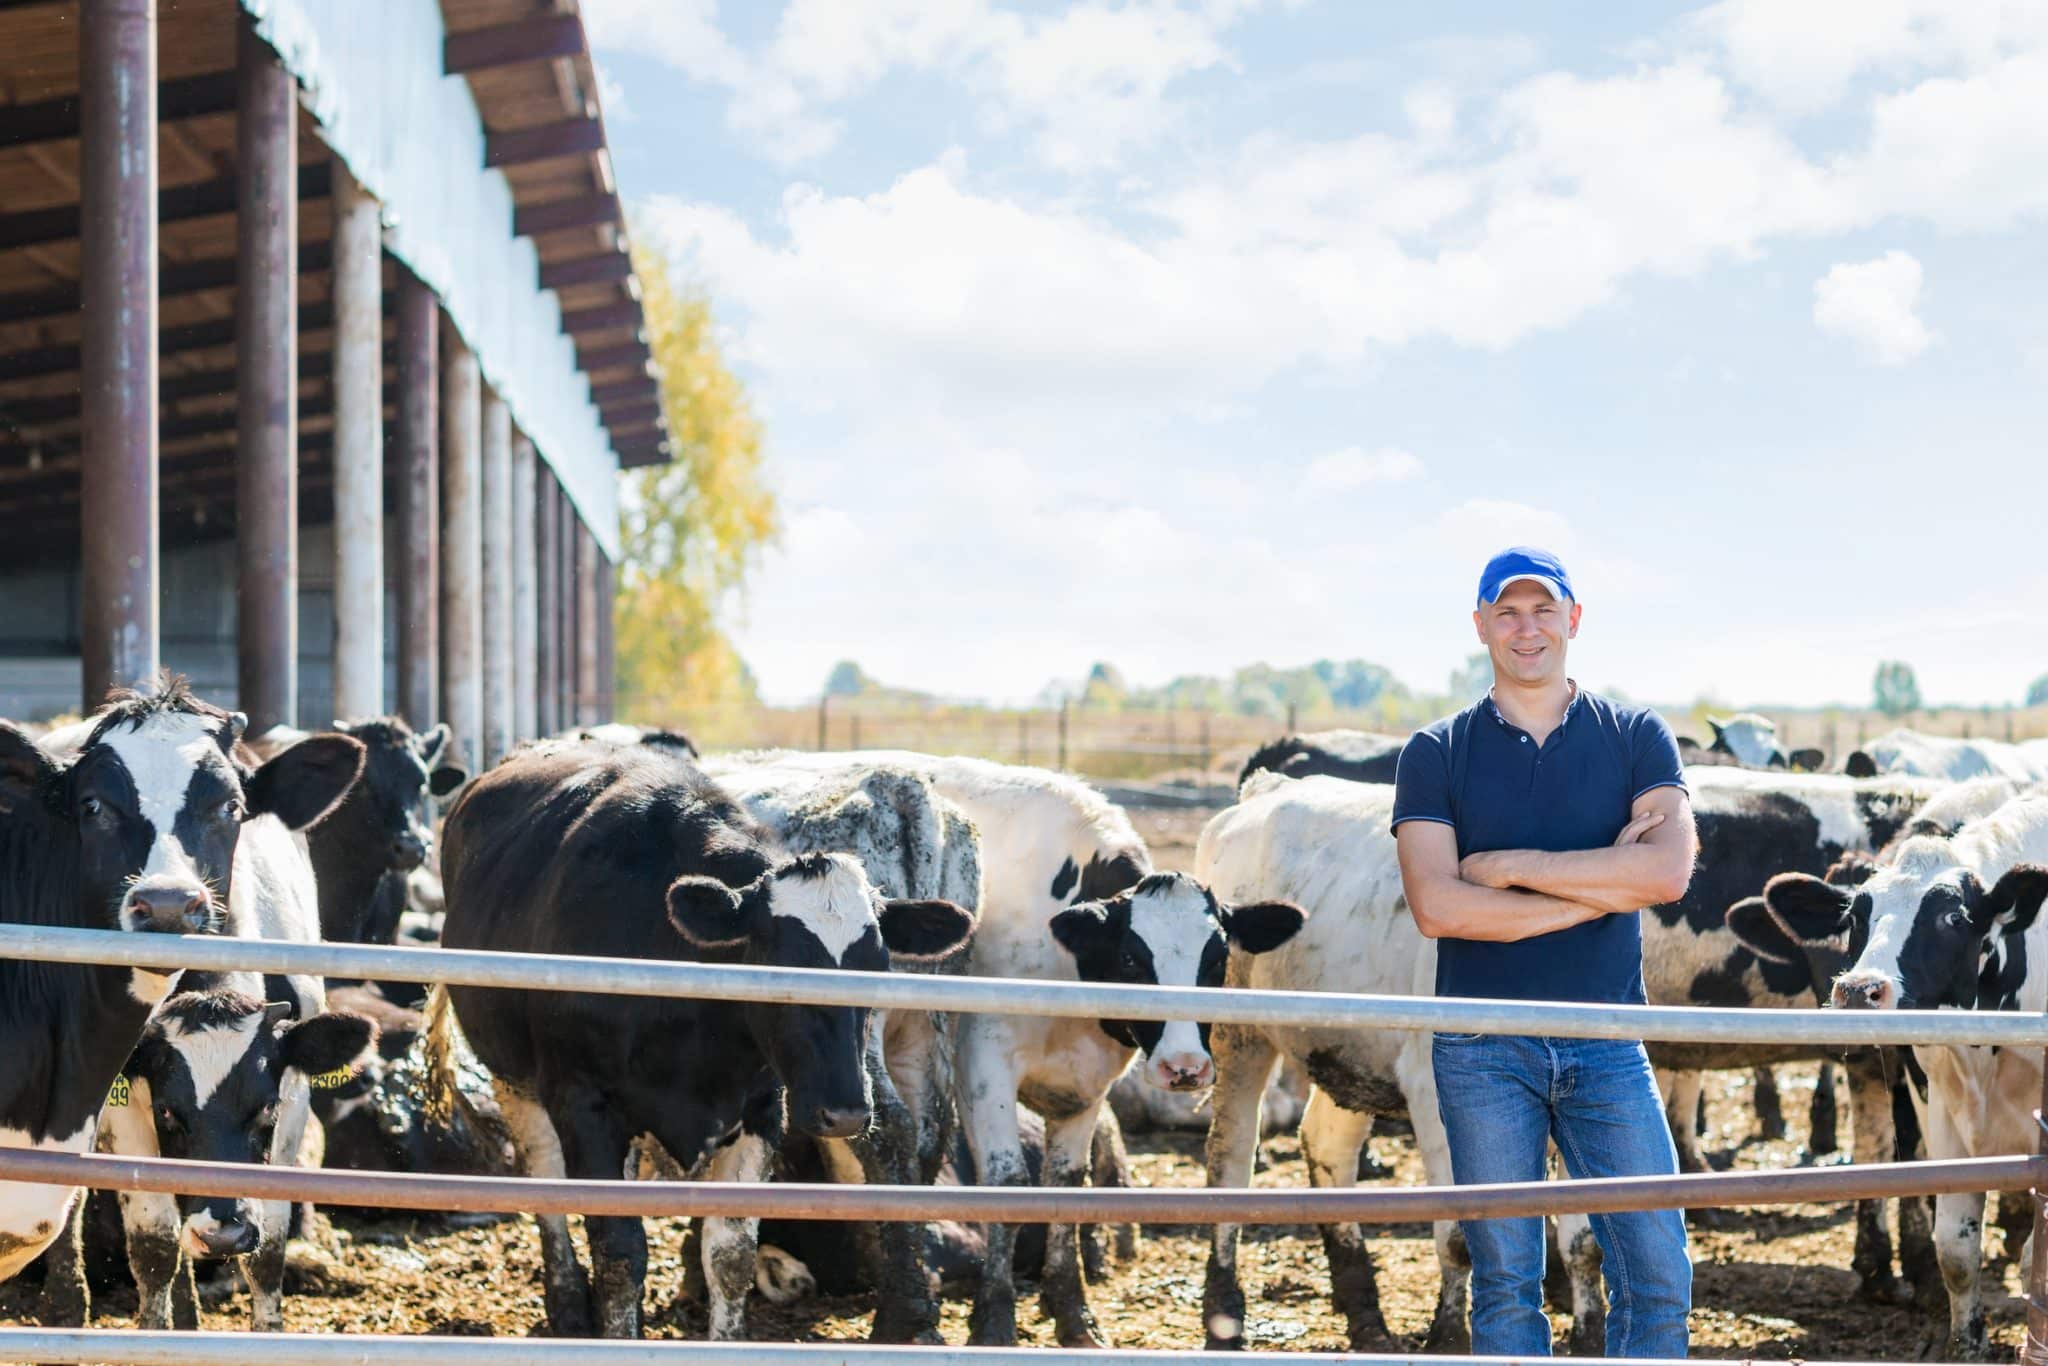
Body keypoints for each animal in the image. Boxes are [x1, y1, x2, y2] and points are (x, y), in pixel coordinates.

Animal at [1, 679, 364, 1294]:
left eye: (230, 807)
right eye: (93, 805)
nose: (169, 904)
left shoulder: (291, 1091)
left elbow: (267, 1251)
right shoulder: (128, 1104)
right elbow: (155, 1244)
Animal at [434, 741, 974, 1343]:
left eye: (878, 966)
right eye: (780, 966)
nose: (846, 1113)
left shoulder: (763, 1110)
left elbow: (731, 1252)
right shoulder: (583, 1100)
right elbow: (618, 1249)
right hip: (514, 1077)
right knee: (544, 1173)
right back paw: (569, 1306)